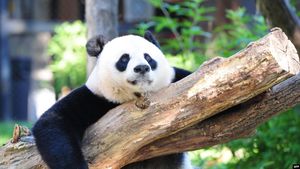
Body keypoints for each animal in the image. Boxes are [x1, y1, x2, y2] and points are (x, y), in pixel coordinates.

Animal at [32, 31, 192, 168]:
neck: (136, 95)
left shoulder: (177, 80)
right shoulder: (95, 97)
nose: (142, 68)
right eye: (124, 59)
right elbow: (53, 122)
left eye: (148, 57)